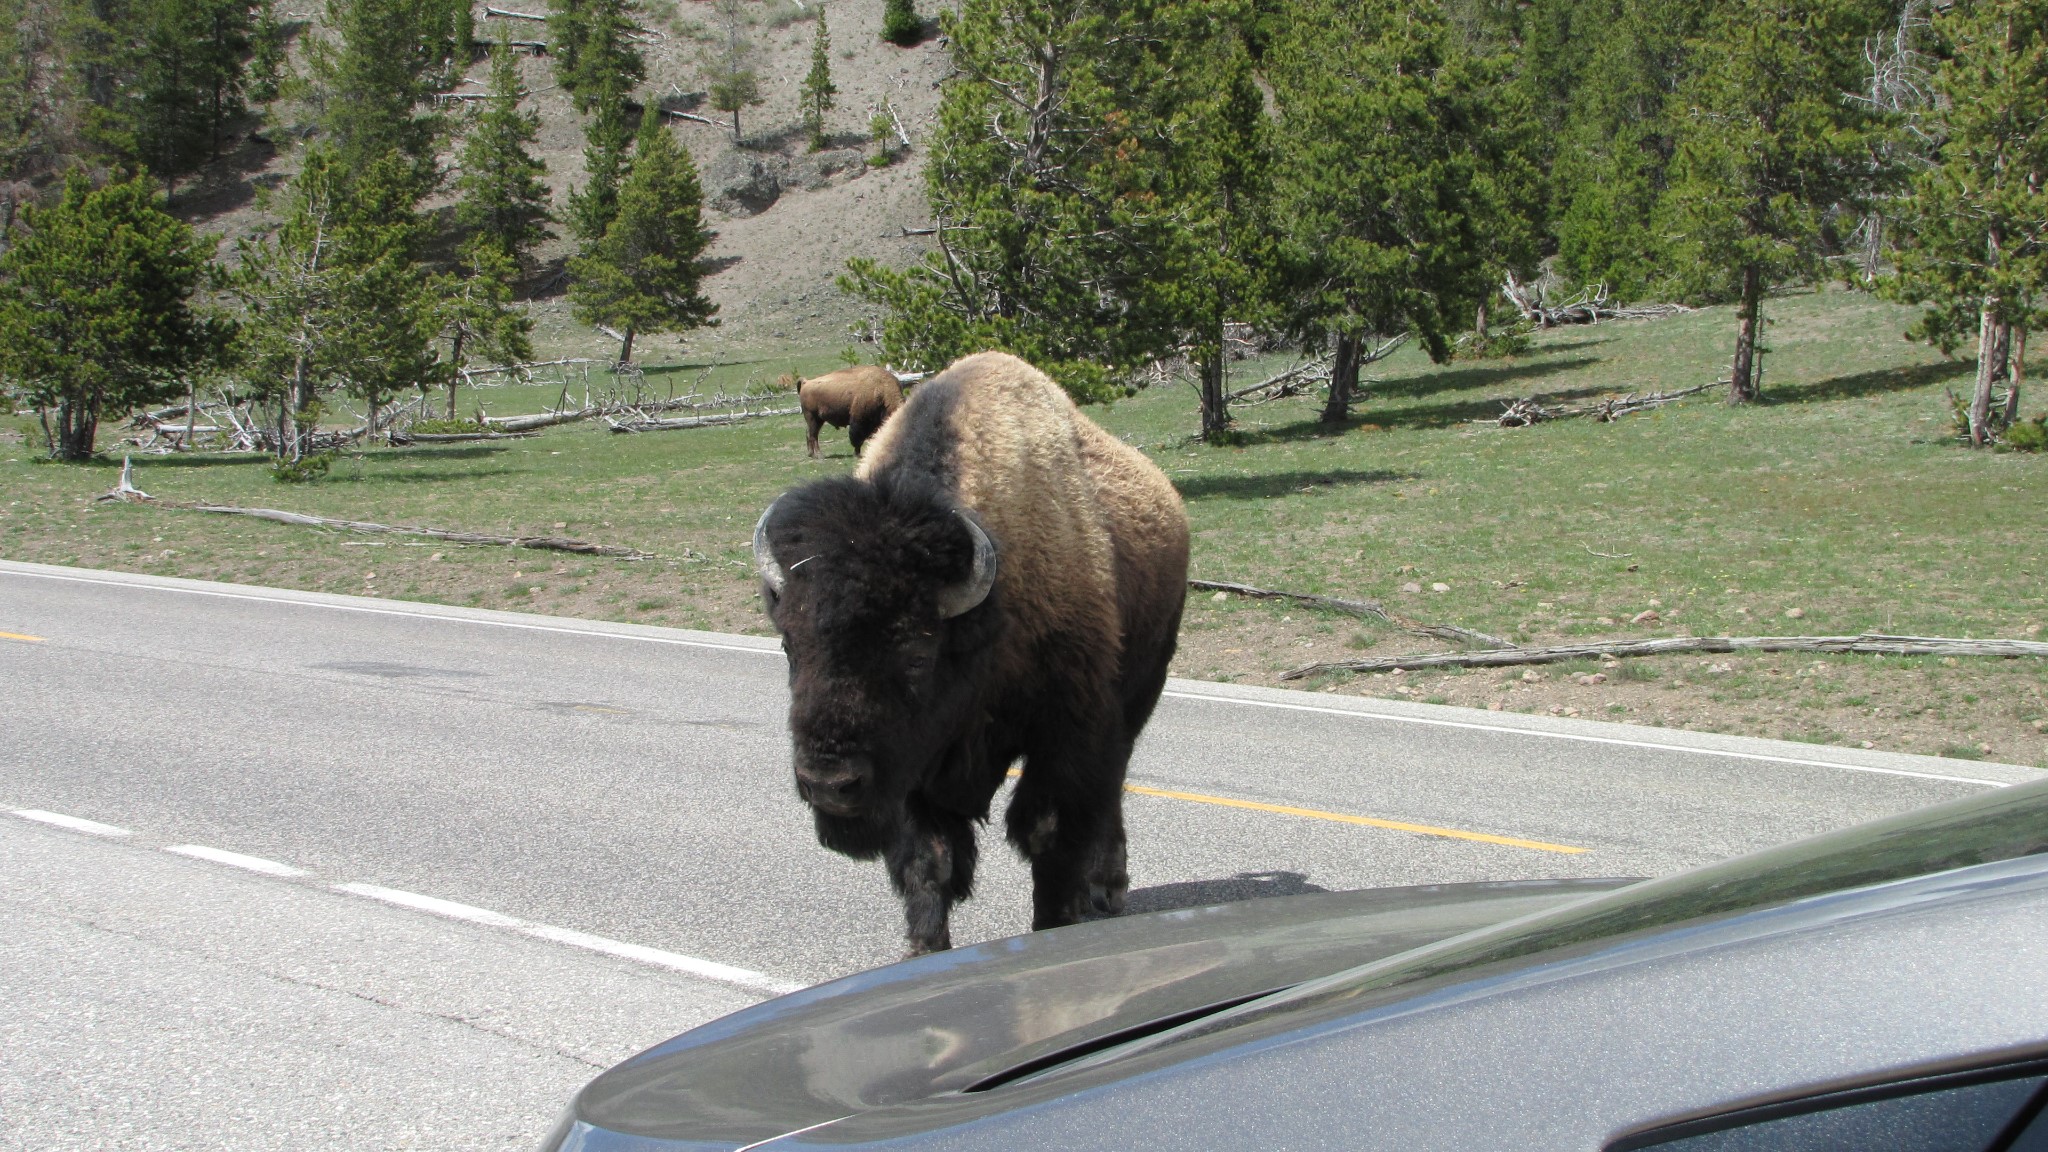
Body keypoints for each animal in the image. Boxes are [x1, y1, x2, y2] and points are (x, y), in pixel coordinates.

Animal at [753, 350, 1196, 951]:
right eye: (788, 646)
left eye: (917, 655)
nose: (829, 784)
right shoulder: (916, 767)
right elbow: (930, 860)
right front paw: (926, 949)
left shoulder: (1069, 732)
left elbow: (1048, 836)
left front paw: (1056, 923)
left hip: (1140, 691)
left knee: (1113, 788)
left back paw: (1107, 886)